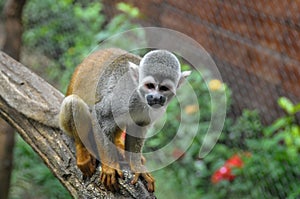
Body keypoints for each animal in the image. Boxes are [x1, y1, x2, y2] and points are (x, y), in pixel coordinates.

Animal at [57, 47, 191, 192]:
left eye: (164, 88)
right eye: (149, 85)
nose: (156, 98)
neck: (140, 97)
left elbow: (138, 128)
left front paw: (136, 166)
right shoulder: (123, 97)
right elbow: (100, 117)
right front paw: (109, 167)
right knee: (73, 102)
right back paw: (83, 149)